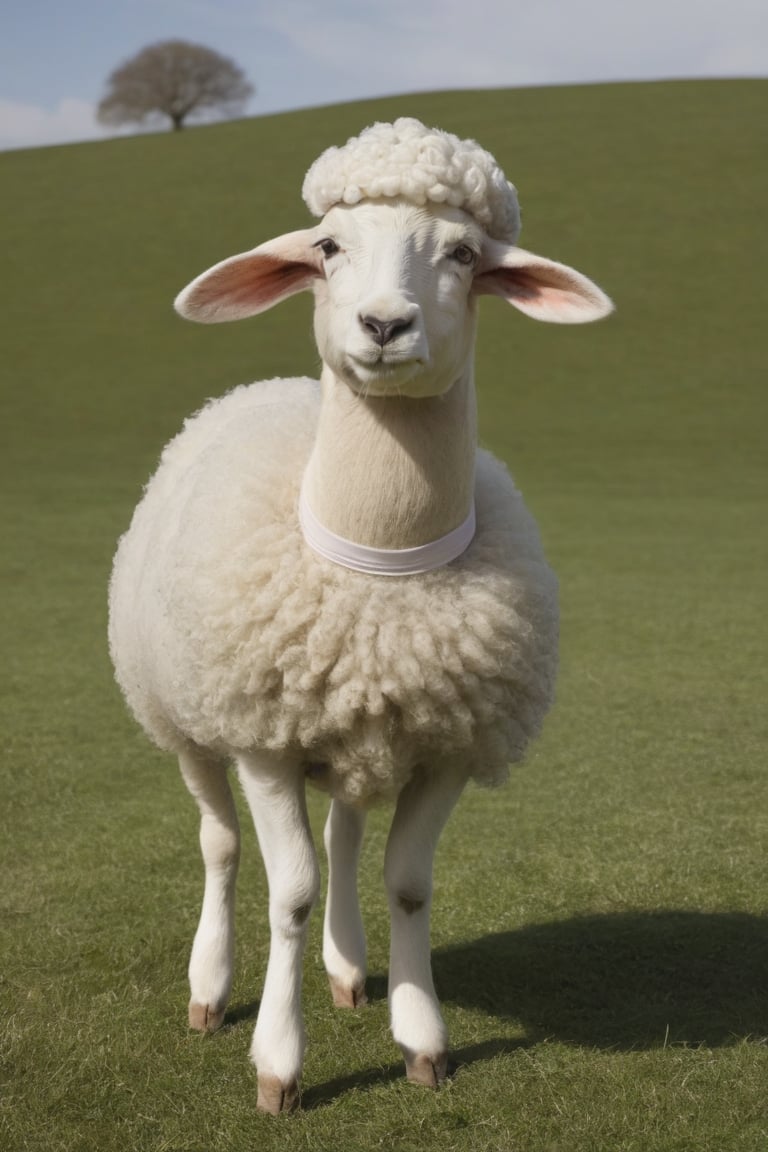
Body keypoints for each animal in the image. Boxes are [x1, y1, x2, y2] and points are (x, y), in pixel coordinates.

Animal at [108, 117, 613, 1114]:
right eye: (328, 247)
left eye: (463, 254)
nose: (383, 325)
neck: (381, 565)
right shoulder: (264, 744)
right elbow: (290, 893)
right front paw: (278, 1064)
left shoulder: (450, 743)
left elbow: (407, 884)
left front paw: (423, 1039)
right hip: (187, 719)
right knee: (221, 845)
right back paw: (209, 987)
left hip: (355, 728)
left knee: (344, 835)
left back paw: (346, 968)